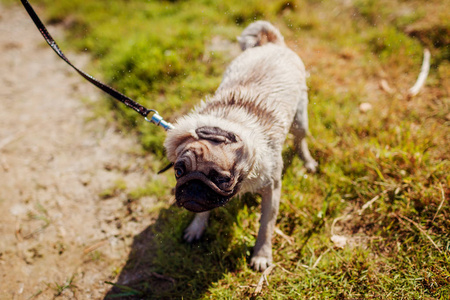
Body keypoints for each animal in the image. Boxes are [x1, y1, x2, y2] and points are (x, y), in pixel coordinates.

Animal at [164, 19, 316, 270]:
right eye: (178, 171)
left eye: (223, 179)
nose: (194, 186)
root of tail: (271, 44)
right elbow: (202, 211)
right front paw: (197, 227)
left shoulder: (272, 189)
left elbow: (266, 226)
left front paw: (261, 255)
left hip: (300, 120)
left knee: (300, 139)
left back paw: (308, 161)